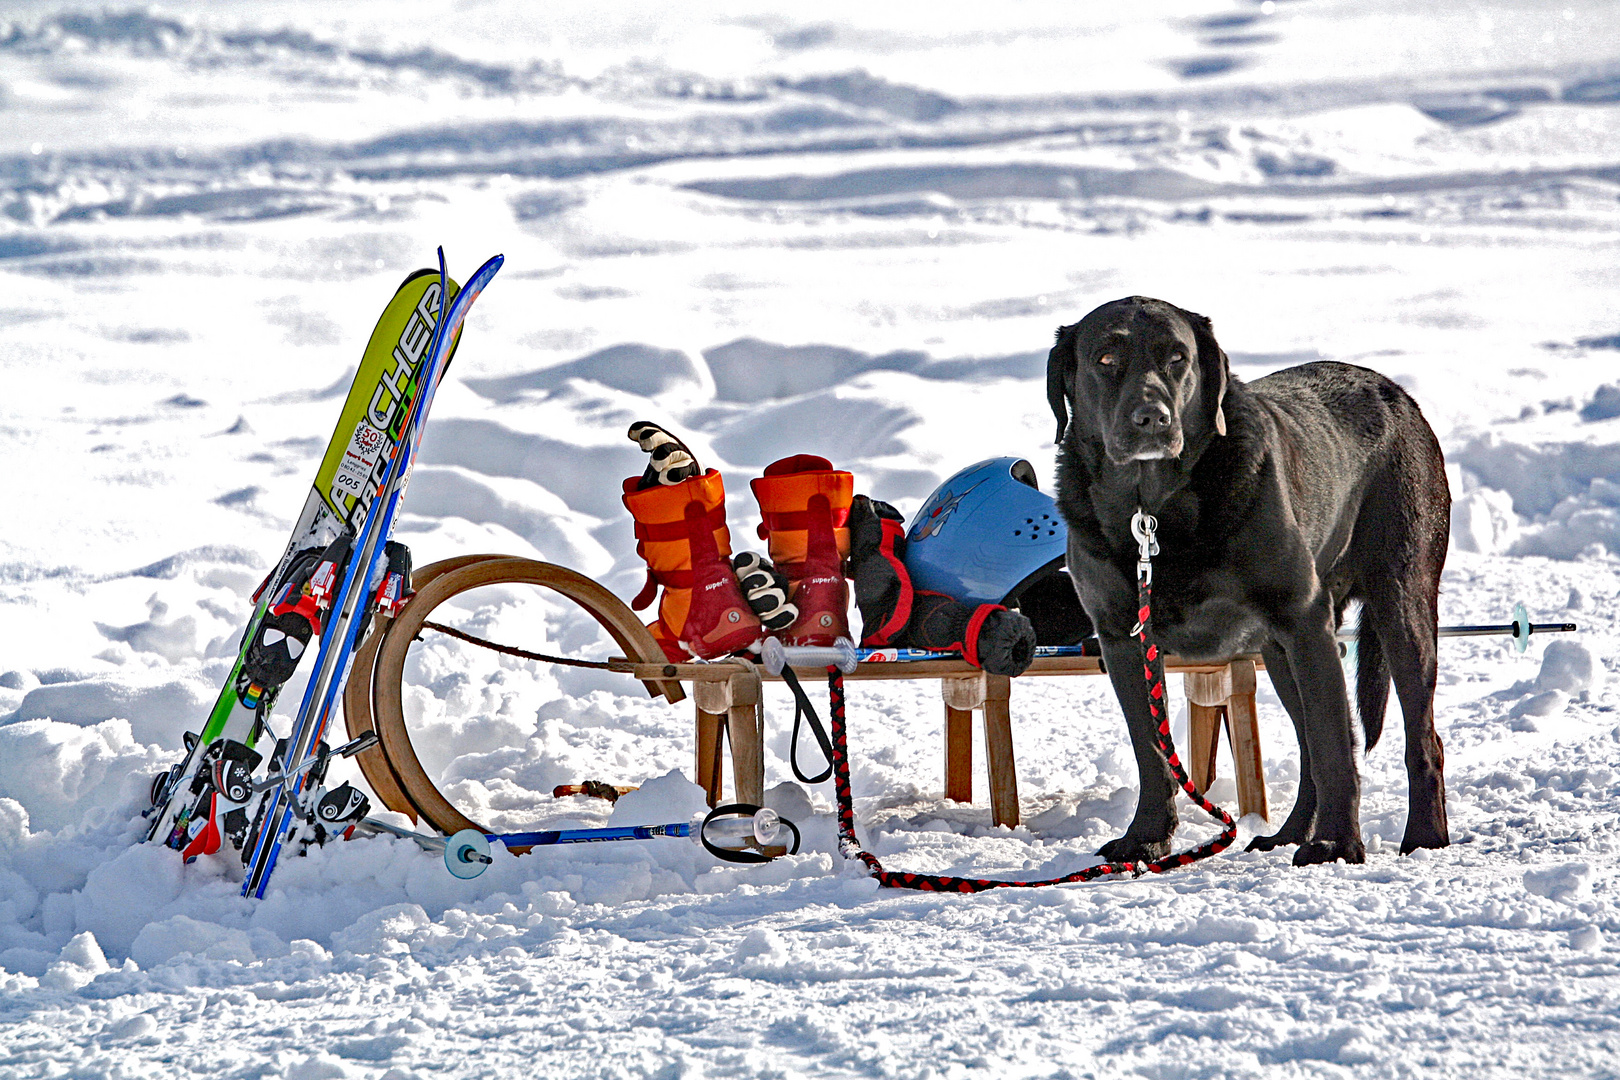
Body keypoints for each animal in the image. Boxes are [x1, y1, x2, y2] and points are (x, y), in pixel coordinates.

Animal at [1056, 297, 1451, 867]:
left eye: (1177, 357)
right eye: (1106, 358)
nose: (1152, 418)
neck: (1151, 510)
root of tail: (1399, 395)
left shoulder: (1302, 617)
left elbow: (1335, 746)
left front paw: (1338, 844)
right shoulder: (1122, 640)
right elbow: (1150, 749)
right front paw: (1147, 838)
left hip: (1399, 601)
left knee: (1417, 738)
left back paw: (1423, 837)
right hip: (1280, 651)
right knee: (1309, 742)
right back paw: (1288, 834)